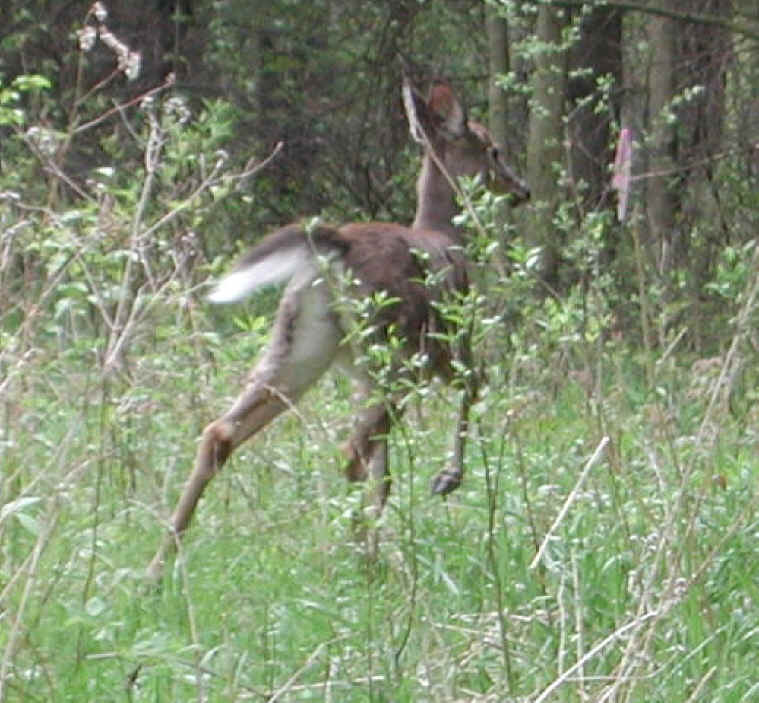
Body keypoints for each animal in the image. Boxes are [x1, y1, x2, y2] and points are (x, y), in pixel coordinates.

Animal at [146, 77, 529, 580]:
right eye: (493, 149)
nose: (522, 189)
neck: (448, 236)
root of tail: (336, 247)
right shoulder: (450, 343)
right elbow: (477, 385)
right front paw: (448, 478)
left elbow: (387, 472)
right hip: (391, 350)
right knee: (351, 451)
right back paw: (362, 562)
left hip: (301, 344)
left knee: (220, 432)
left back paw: (158, 568)